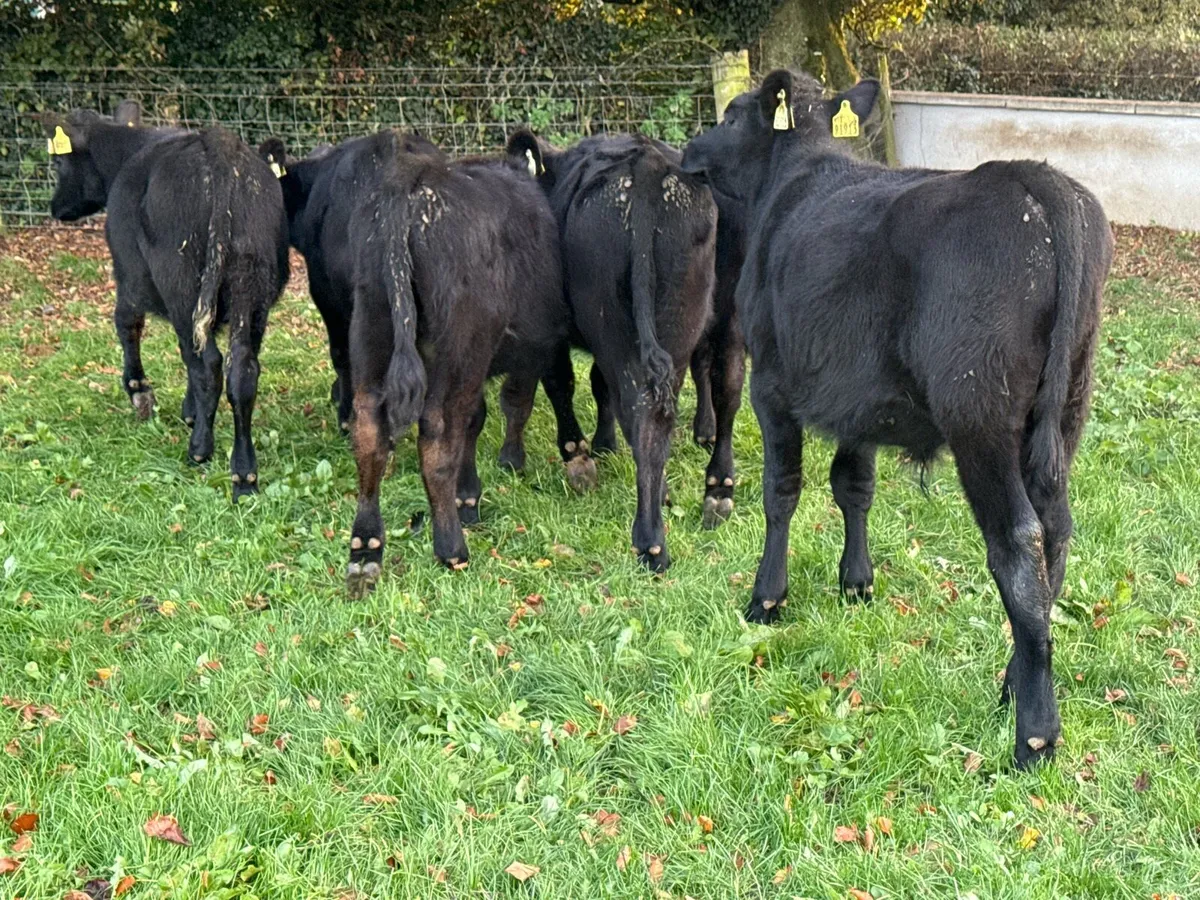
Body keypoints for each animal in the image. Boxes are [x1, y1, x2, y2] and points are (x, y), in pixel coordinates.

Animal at [41, 101, 289, 500]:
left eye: (58, 164)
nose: (55, 208)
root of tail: (220, 144)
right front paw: (192, 410)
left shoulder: (128, 275)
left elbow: (128, 325)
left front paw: (140, 391)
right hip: (251, 288)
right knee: (240, 369)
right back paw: (244, 474)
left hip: (182, 283)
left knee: (208, 364)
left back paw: (200, 449)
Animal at [260, 131, 570, 595]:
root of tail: (407, 190)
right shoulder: (528, 345)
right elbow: (508, 406)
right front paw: (488, 480)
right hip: (458, 349)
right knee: (439, 434)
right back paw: (451, 547)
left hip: (373, 327)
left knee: (370, 429)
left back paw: (366, 546)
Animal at [511, 131, 718, 571]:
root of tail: (646, 162)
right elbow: (597, 384)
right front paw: (603, 444)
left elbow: (562, 382)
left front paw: (578, 452)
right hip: (680, 322)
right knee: (656, 416)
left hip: (613, 327)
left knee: (635, 407)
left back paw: (648, 540)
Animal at [680, 70, 1113, 767]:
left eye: (732, 114)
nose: (688, 148)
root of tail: (1029, 176)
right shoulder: (859, 400)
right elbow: (854, 487)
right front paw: (857, 585)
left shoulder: (772, 382)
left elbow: (782, 490)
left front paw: (767, 598)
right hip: (1066, 409)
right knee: (1057, 536)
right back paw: (1012, 683)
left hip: (978, 414)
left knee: (1019, 543)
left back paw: (1035, 732)